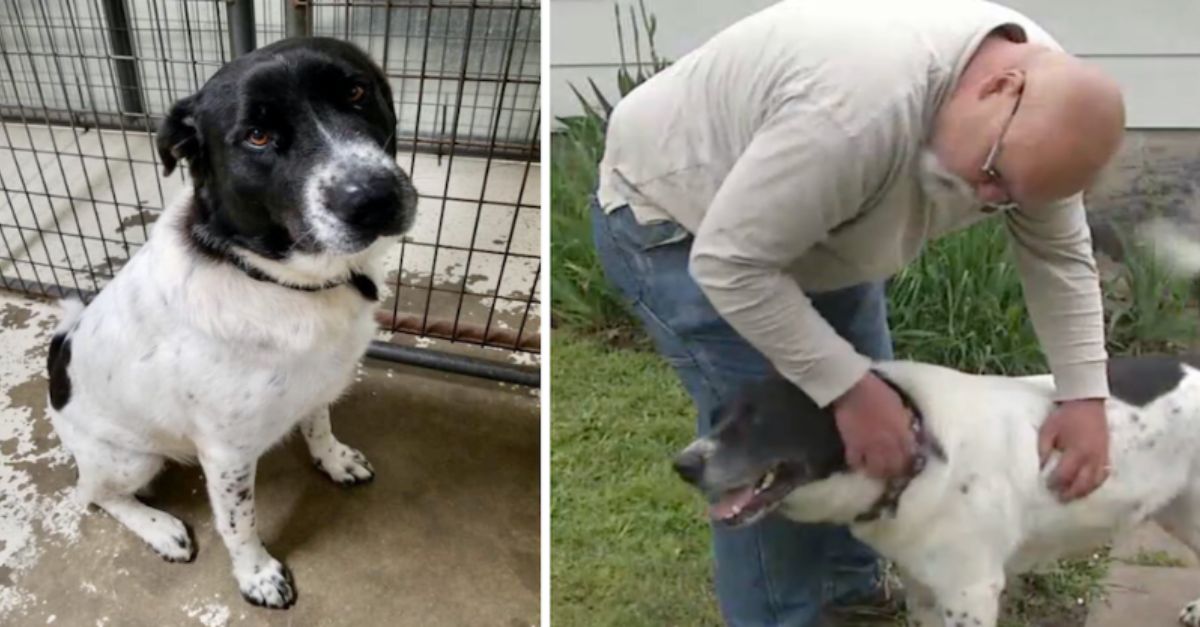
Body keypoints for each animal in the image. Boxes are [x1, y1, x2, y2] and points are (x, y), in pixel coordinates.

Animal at [44, 36, 417, 607]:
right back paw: (160, 528)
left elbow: (319, 426)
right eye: (257, 137)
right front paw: (256, 575)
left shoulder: (316, 388)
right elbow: (240, 522)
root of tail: (55, 363)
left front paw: (334, 460)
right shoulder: (227, 454)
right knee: (93, 494)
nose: (373, 198)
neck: (275, 278)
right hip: (128, 459)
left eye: (356, 92)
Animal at [676, 355, 1200, 624]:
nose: (683, 466)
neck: (918, 439)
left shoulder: (970, 591)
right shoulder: (924, 585)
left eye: (758, 419)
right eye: (717, 416)